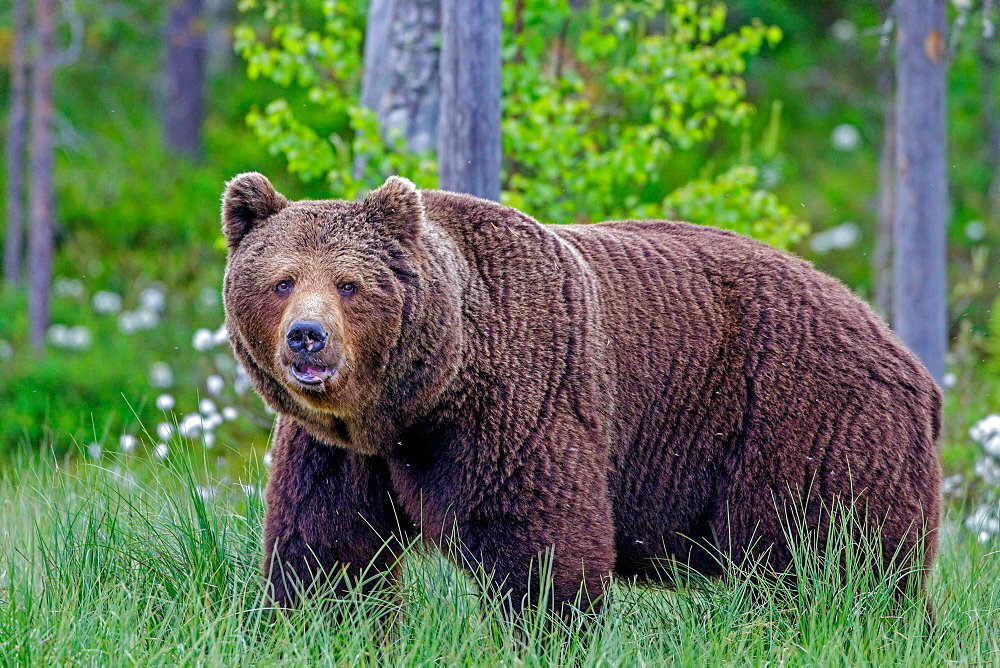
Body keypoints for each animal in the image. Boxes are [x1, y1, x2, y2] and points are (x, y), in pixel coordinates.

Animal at [221, 174, 944, 616]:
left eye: (349, 284)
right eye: (282, 281)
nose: (307, 338)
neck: (415, 403)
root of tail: (903, 353)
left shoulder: (517, 405)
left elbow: (539, 552)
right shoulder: (335, 449)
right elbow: (324, 551)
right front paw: (319, 615)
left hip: (806, 424)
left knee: (835, 563)